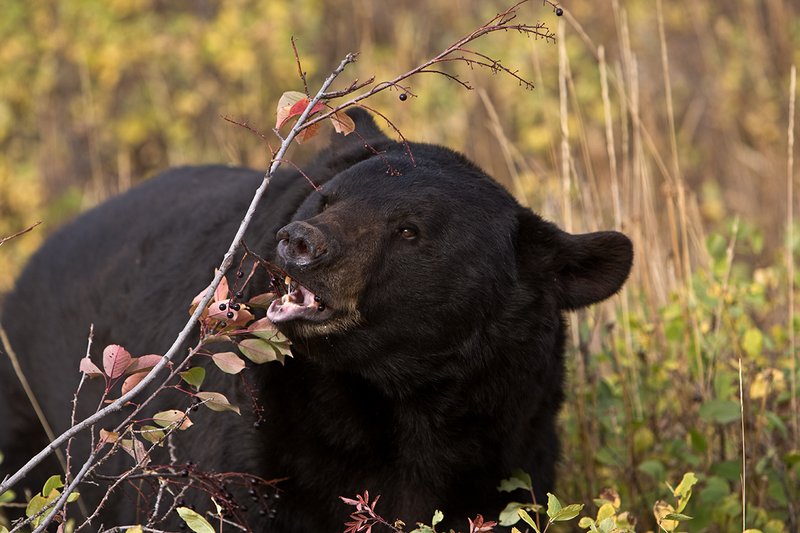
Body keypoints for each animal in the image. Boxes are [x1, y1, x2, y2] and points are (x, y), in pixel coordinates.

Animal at [0, 109, 633, 531]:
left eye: (409, 230)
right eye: (327, 200)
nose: (301, 242)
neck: (402, 401)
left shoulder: (511, 445)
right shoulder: (256, 458)